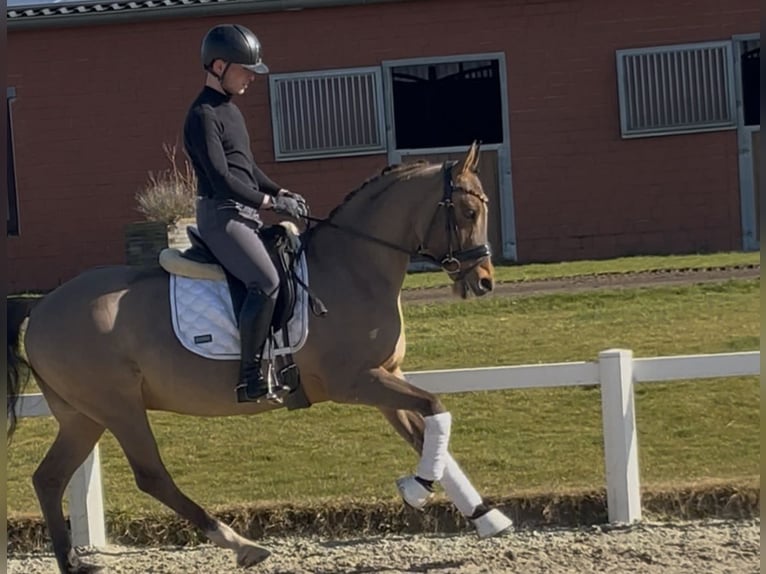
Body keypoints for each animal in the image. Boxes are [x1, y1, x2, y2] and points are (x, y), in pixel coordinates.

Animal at [6, 141, 512, 574]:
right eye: (469, 211)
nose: (484, 281)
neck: (354, 267)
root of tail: (42, 304)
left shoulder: (386, 376)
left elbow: (427, 431)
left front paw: (485, 516)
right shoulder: (358, 382)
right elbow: (436, 408)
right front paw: (417, 489)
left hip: (83, 415)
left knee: (49, 478)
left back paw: (73, 562)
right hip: (118, 407)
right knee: (151, 476)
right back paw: (242, 545)